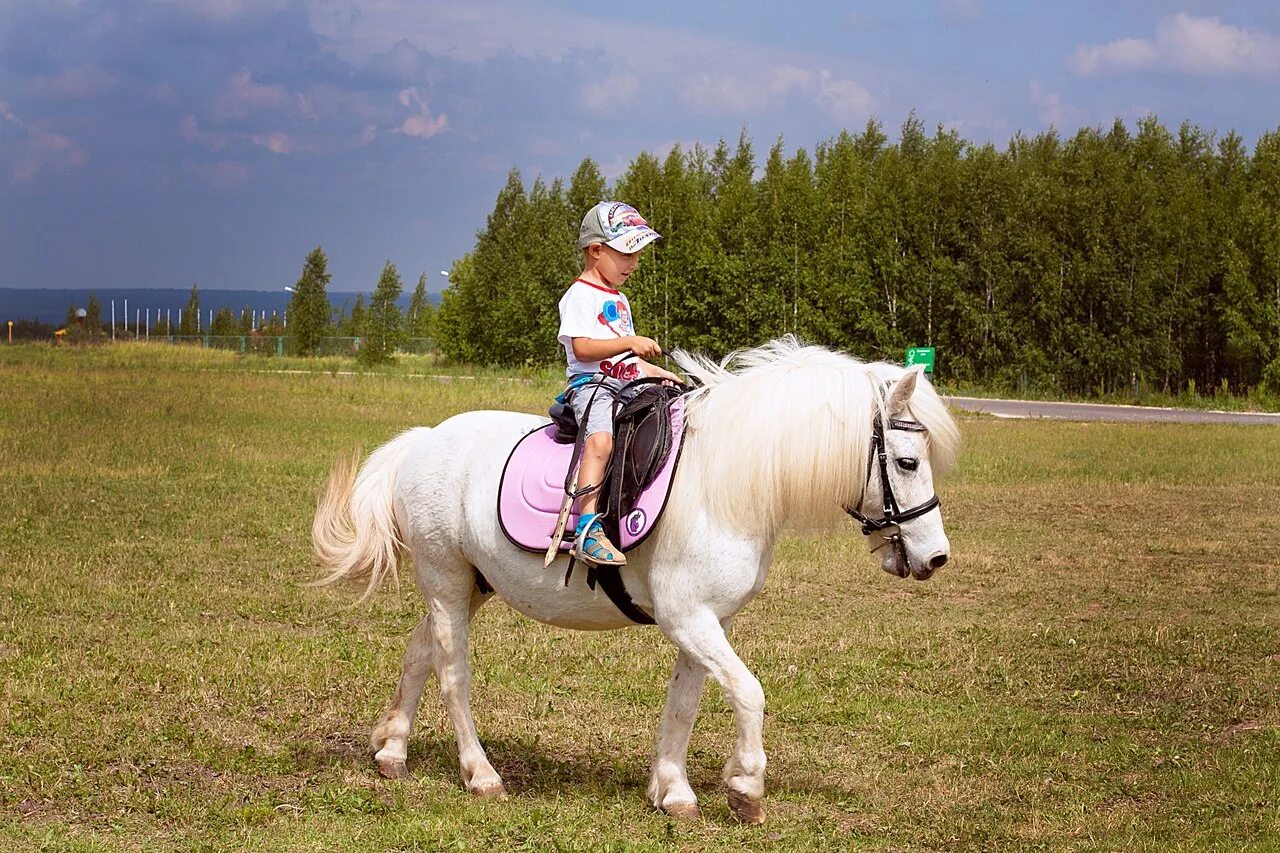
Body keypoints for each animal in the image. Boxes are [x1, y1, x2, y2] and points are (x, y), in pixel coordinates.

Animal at [314, 335, 962, 819]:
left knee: (419, 651)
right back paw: (481, 774)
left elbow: (686, 703)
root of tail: (424, 440)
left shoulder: (706, 622)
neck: (722, 482)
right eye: (907, 462)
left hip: (470, 585)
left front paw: (673, 790)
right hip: (447, 579)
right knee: (452, 674)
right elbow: (750, 692)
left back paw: (392, 751)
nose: (935, 558)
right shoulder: (689, 618)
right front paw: (746, 788)